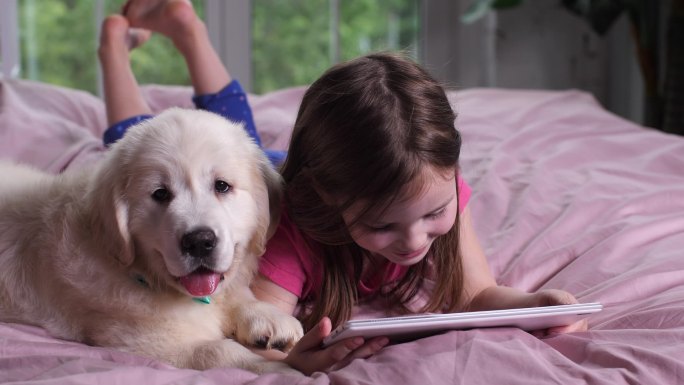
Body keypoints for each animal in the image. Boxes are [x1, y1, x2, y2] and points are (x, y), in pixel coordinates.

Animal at [0, 106, 302, 374]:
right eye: (160, 194)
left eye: (222, 186)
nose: (199, 242)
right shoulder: (141, 340)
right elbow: (217, 350)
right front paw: (277, 369)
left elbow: (237, 295)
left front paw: (271, 318)